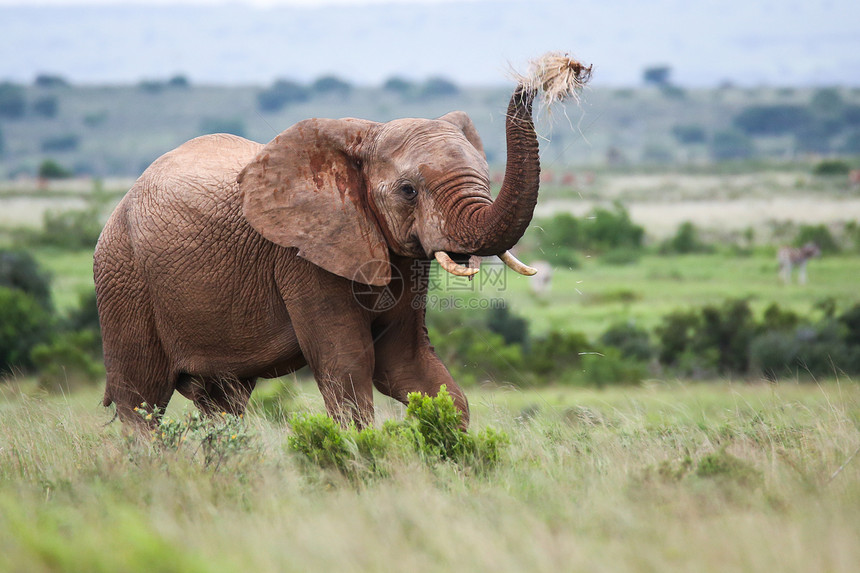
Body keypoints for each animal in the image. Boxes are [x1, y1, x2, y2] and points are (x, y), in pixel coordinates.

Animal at [95, 79, 556, 428]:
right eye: (409, 190)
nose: (538, 80)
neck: (365, 135)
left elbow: (407, 364)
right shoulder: (302, 255)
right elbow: (349, 365)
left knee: (224, 402)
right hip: (123, 278)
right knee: (141, 401)